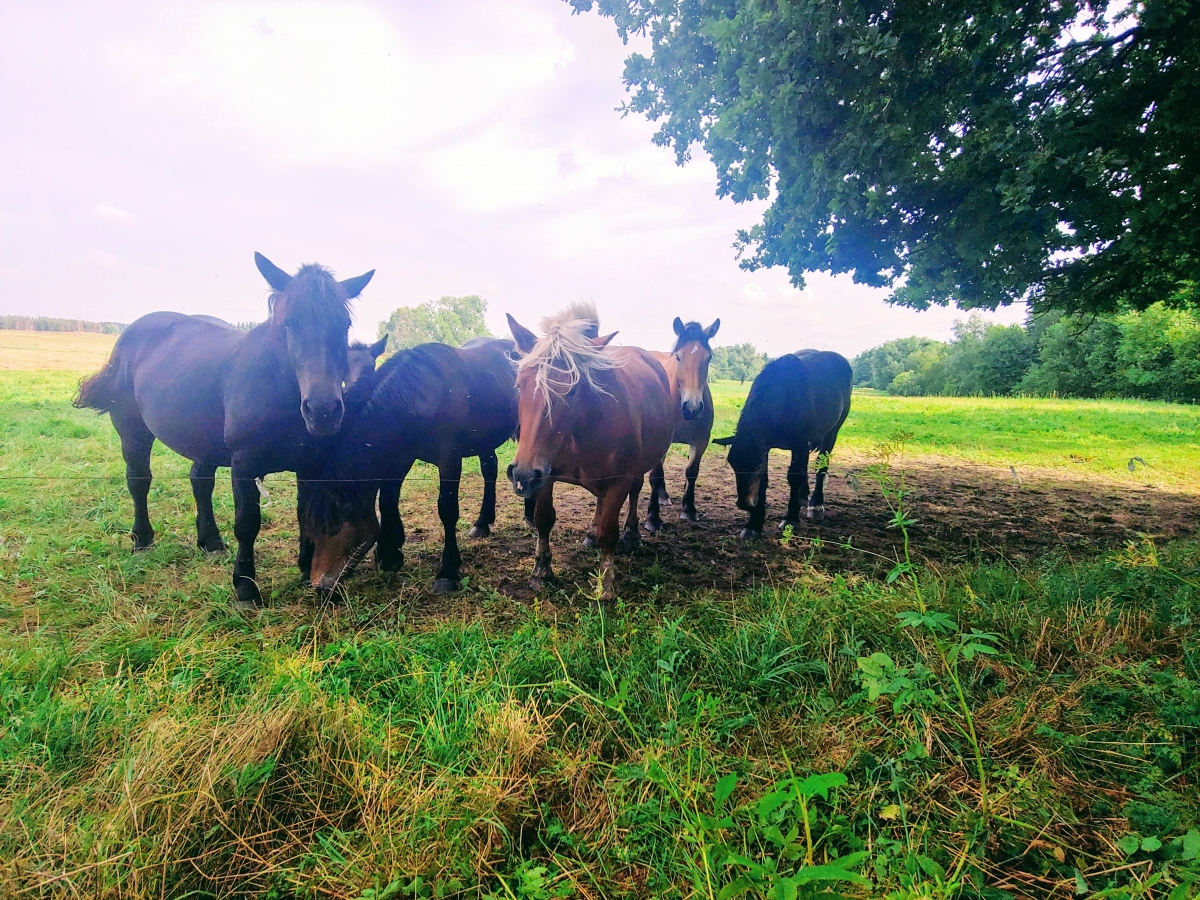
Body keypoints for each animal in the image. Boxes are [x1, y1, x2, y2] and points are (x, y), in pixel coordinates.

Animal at [75, 250, 374, 609]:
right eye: (290, 324)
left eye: (344, 325)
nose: (323, 411)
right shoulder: (244, 465)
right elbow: (247, 524)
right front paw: (245, 587)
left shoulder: (310, 465)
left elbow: (305, 514)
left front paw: (305, 570)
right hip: (133, 433)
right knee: (139, 481)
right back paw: (142, 539)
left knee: (199, 483)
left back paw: (210, 541)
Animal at [297, 336, 518, 595]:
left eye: (333, 527)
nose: (320, 586)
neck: (421, 395)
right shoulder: (400, 455)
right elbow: (387, 500)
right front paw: (389, 553)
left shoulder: (449, 460)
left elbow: (447, 510)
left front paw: (447, 572)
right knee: (489, 469)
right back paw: (482, 523)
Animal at [504, 304, 676, 607]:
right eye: (520, 384)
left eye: (573, 389)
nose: (522, 475)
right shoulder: (545, 474)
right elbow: (544, 519)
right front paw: (541, 571)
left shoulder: (619, 480)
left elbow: (610, 531)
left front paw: (605, 586)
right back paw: (591, 533)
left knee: (635, 493)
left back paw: (632, 534)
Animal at [648, 319, 720, 532]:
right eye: (679, 357)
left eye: (708, 357)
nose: (692, 407)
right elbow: (655, 475)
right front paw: (653, 518)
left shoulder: (701, 441)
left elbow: (692, 472)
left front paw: (689, 509)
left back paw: (663, 496)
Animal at [710, 348, 854, 540]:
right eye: (733, 464)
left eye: (756, 465)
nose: (744, 503)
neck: (784, 397)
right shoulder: (767, 448)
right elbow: (765, 481)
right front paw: (753, 524)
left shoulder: (798, 444)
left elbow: (793, 476)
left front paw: (791, 518)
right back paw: (803, 495)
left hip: (831, 432)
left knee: (821, 465)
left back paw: (816, 504)